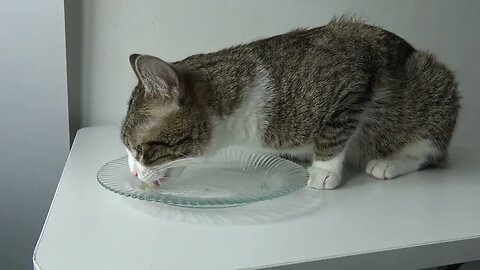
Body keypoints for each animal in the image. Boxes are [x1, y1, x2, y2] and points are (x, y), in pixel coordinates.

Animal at [119, 17, 458, 190]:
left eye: (139, 150)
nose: (133, 174)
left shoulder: (351, 79)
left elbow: (335, 131)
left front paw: (324, 170)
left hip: (433, 85)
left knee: (430, 152)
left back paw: (390, 163)